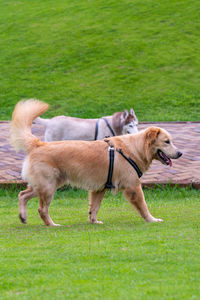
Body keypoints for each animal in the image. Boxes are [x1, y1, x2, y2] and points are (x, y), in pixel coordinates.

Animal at [10, 99, 182, 226]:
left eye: (171, 141)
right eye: (167, 142)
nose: (180, 153)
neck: (134, 148)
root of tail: (39, 144)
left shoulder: (99, 189)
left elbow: (94, 207)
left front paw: (93, 221)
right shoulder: (133, 186)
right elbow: (144, 206)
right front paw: (152, 219)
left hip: (46, 185)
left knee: (22, 194)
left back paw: (23, 216)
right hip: (48, 187)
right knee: (42, 209)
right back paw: (52, 224)